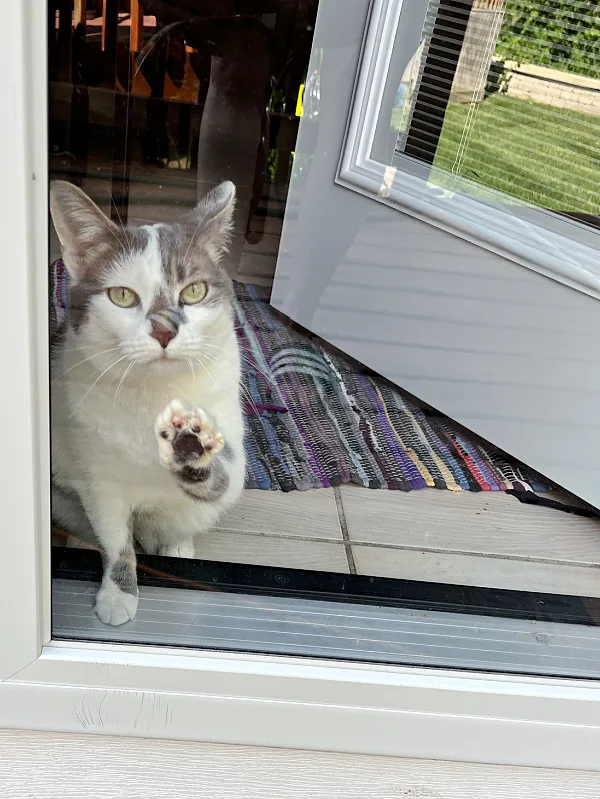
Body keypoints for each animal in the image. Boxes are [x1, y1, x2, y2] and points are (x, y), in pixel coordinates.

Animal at [49, 180, 246, 624]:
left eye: (194, 291)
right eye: (122, 296)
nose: (164, 330)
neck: (156, 392)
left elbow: (220, 476)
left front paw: (191, 449)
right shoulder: (100, 483)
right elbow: (116, 541)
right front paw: (119, 593)